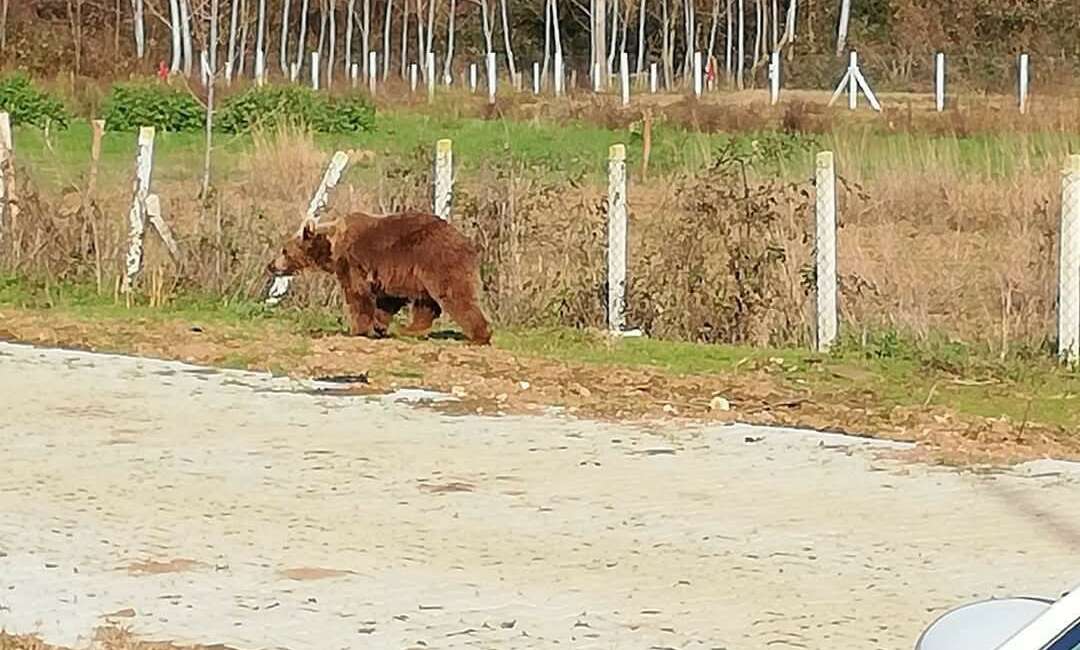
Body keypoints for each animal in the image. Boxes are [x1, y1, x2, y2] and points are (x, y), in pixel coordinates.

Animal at [266, 211, 494, 343]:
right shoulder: (393, 274)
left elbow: (357, 294)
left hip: (437, 261)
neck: (332, 248)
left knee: (456, 296)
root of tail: (468, 243)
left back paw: (480, 335)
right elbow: (387, 300)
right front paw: (379, 325)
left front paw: (357, 329)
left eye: (284, 250)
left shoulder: (353, 262)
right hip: (423, 273)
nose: (271, 265)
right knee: (426, 304)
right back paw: (408, 329)